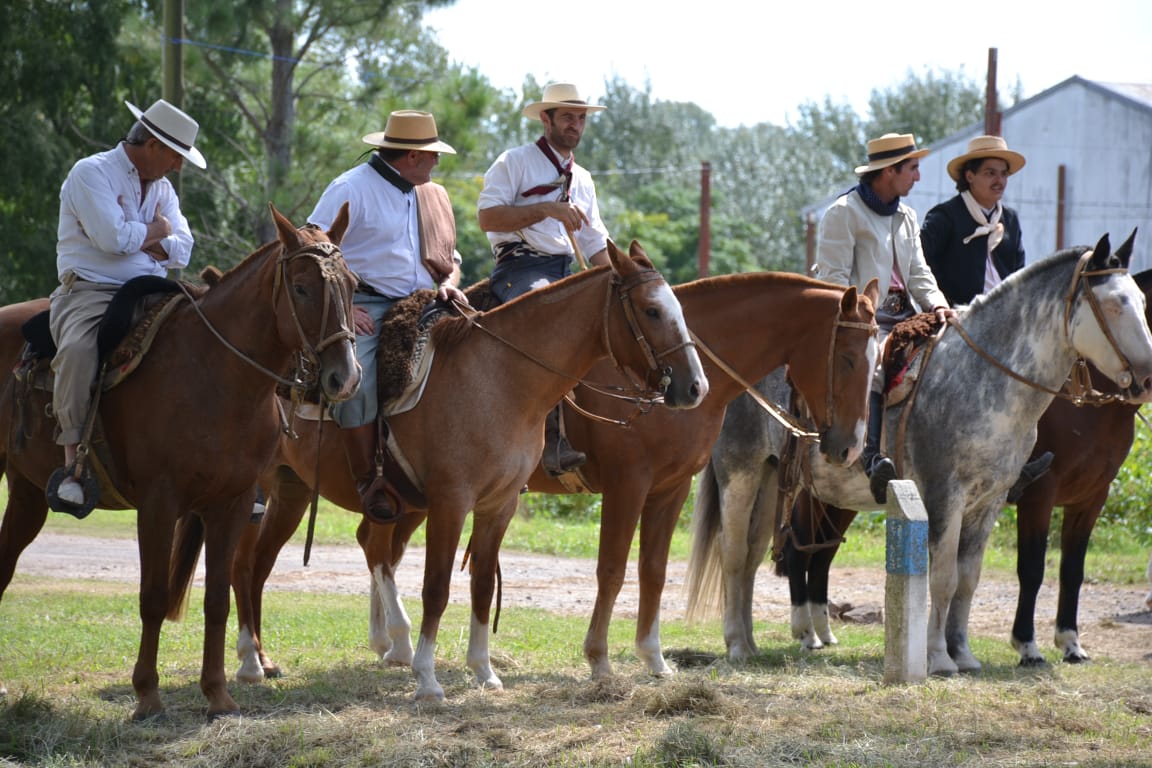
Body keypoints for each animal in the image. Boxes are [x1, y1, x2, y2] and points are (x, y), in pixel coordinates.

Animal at [0, 206, 357, 723]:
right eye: (302, 287)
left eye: (352, 284)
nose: (343, 377)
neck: (216, 376)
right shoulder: (159, 503)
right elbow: (153, 597)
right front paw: (148, 695)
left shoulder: (231, 504)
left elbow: (216, 599)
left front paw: (218, 694)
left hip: (27, 491)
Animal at [231, 240, 709, 704]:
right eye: (651, 310)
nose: (695, 387)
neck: (500, 380)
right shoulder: (451, 502)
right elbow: (437, 587)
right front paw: (427, 679)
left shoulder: (500, 505)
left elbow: (481, 582)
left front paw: (483, 671)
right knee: (247, 564)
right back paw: (254, 662)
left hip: (299, 492)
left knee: (280, 562)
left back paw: (286, 656)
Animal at [233, 269, 880, 686]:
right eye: (849, 357)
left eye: (878, 361)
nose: (849, 445)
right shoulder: (627, 485)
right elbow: (613, 569)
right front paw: (599, 659)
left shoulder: (669, 490)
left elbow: (652, 571)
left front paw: (654, 658)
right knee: (259, 563)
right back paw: (266, 658)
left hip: (363, 496)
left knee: (365, 547)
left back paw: (382, 645)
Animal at [681, 232, 1152, 672]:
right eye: (1114, 306)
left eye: (1142, 302)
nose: (1147, 377)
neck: (983, 377)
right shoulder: (948, 495)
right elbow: (943, 578)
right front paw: (939, 658)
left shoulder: (992, 500)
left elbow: (968, 580)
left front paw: (963, 654)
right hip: (740, 472)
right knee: (735, 551)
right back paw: (738, 644)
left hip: (772, 479)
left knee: (756, 555)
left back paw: (753, 642)